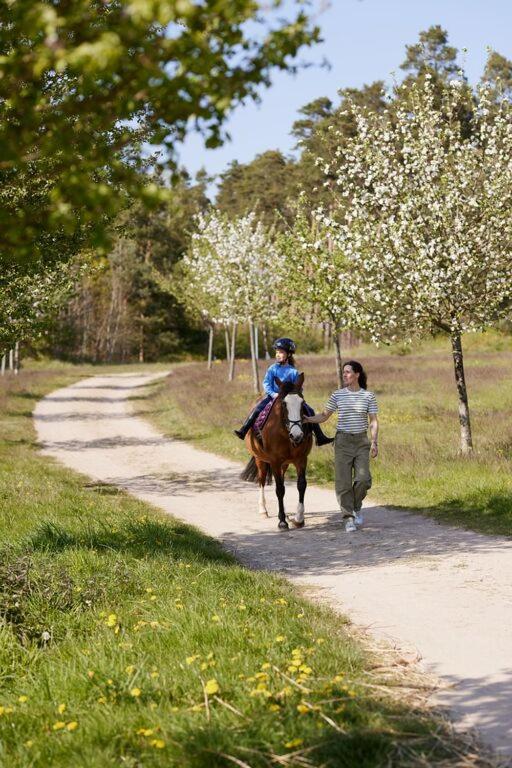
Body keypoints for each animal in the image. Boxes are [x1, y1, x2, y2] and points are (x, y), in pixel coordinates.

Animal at [240, 376, 312, 532]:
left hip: (284, 464)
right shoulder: (274, 461)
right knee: (261, 480)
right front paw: (282, 522)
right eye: (284, 404)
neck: (285, 432)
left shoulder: (301, 459)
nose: (297, 435)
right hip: (260, 459)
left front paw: (298, 519)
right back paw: (263, 510)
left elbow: (301, 485)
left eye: (302, 402)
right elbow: (279, 489)